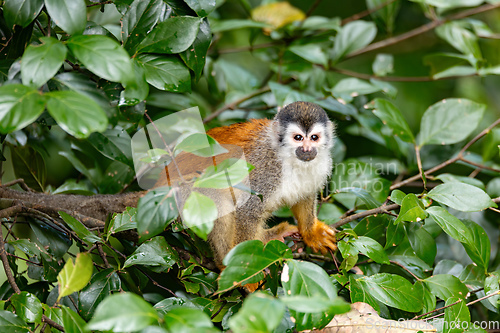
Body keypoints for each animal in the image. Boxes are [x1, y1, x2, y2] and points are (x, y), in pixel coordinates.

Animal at [201, 100, 338, 266]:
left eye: (314, 137)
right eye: (298, 138)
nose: (307, 149)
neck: (287, 158)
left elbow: (305, 195)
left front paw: (311, 232)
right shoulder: (266, 170)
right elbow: (248, 210)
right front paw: (240, 263)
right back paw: (224, 260)